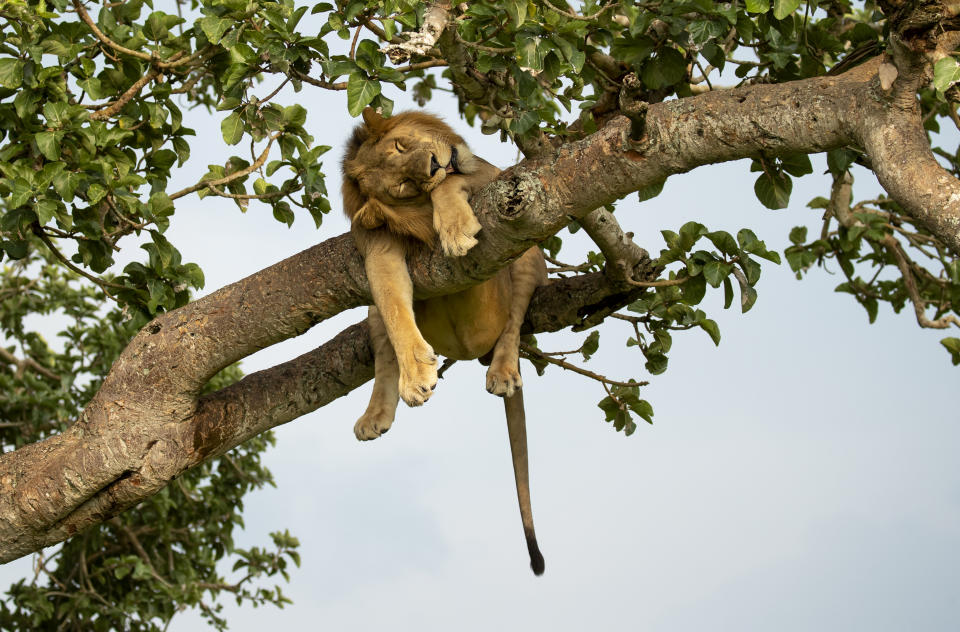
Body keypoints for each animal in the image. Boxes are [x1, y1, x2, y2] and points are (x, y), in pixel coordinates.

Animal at [344, 110, 548, 576]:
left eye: (401, 145)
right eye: (402, 184)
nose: (435, 164)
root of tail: (473, 353)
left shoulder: (497, 179)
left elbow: (452, 187)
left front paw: (454, 228)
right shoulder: (377, 248)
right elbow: (395, 308)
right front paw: (417, 373)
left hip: (528, 255)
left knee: (515, 323)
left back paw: (503, 371)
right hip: (376, 312)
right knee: (384, 343)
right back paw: (377, 414)